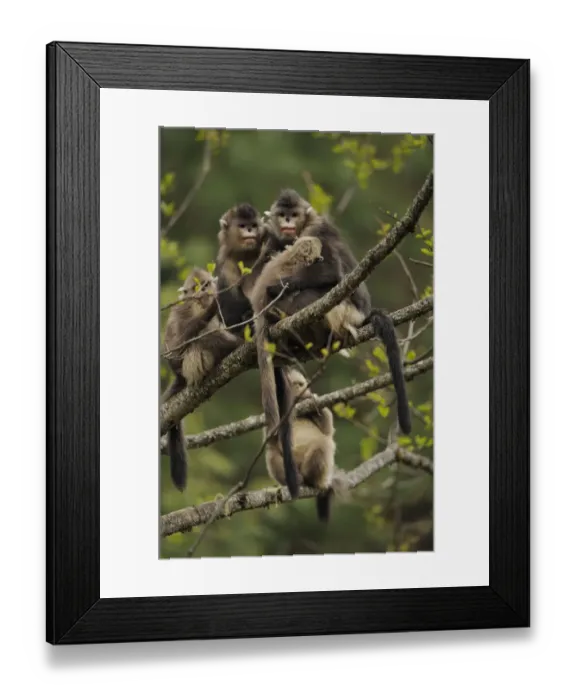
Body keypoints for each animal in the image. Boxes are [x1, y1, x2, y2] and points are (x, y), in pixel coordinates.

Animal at [162, 267, 242, 492]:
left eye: (207, 284)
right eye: (198, 286)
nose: (206, 291)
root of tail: (180, 377)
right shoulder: (185, 309)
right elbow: (178, 345)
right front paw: (213, 308)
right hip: (193, 364)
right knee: (202, 338)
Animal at [253, 188, 412, 436]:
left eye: (294, 214)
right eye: (282, 214)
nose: (287, 221)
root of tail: (363, 315)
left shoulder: (316, 231)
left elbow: (330, 272)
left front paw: (275, 288)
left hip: (343, 312)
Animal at [264, 368, 348, 522]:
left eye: (302, 384)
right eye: (296, 384)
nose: (303, 390)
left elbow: (327, 429)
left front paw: (309, 399)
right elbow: (272, 438)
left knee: (323, 443)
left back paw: (309, 480)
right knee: (272, 452)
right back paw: (295, 480)